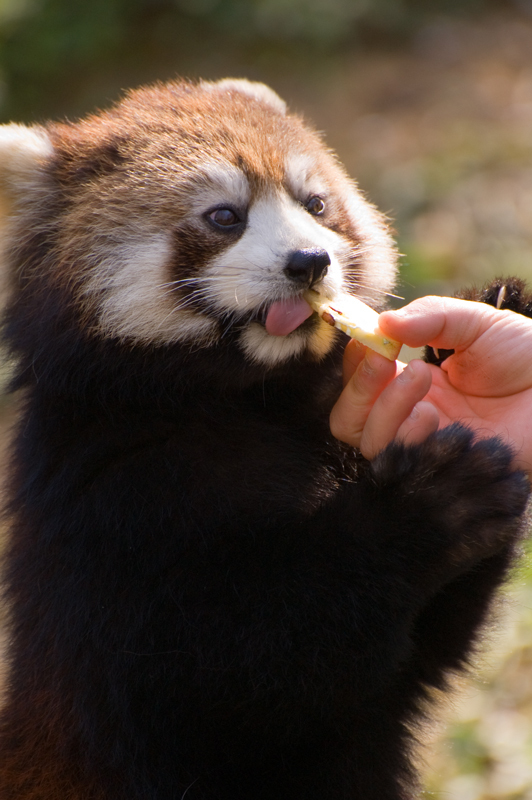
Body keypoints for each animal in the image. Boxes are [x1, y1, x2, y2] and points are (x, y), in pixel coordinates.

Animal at [0, 79, 528, 800]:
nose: (310, 261)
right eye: (225, 216)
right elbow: (241, 680)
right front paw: (430, 503)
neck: (251, 397)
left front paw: (497, 313)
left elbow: (426, 652)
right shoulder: (110, 508)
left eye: (316, 204)